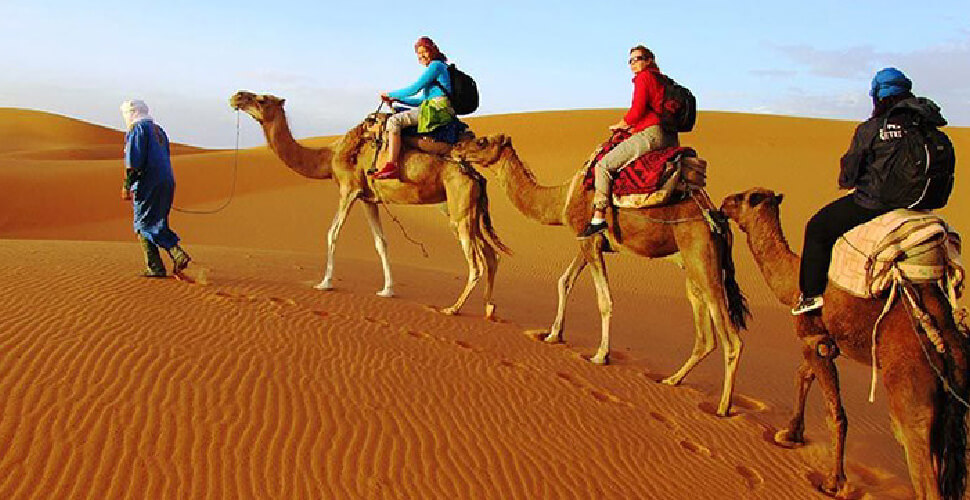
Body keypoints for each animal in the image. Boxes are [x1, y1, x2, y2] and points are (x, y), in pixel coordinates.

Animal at [229, 91, 509, 319]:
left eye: (261, 99)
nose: (237, 96)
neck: (330, 156)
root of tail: (476, 175)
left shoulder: (348, 188)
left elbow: (332, 232)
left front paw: (325, 283)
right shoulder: (368, 198)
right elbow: (380, 242)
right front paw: (387, 290)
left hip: (460, 208)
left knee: (476, 263)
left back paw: (453, 308)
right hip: (461, 209)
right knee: (491, 255)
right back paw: (488, 308)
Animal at [452, 135, 750, 416]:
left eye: (481, 141)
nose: (456, 149)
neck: (562, 199)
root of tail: (718, 221)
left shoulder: (591, 242)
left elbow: (604, 300)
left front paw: (600, 355)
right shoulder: (587, 241)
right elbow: (564, 281)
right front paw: (553, 335)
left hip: (703, 258)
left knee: (731, 336)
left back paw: (723, 406)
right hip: (691, 267)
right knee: (705, 334)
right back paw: (672, 380)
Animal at [720, 187, 969, 499]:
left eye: (745, 198)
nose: (723, 203)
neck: (792, 280)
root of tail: (945, 346)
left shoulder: (813, 339)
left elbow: (835, 413)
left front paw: (833, 482)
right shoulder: (824, 341)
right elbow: (802, 376)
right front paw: (790, 434)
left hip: (911, 396)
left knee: (921, 466)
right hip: (951, 405)